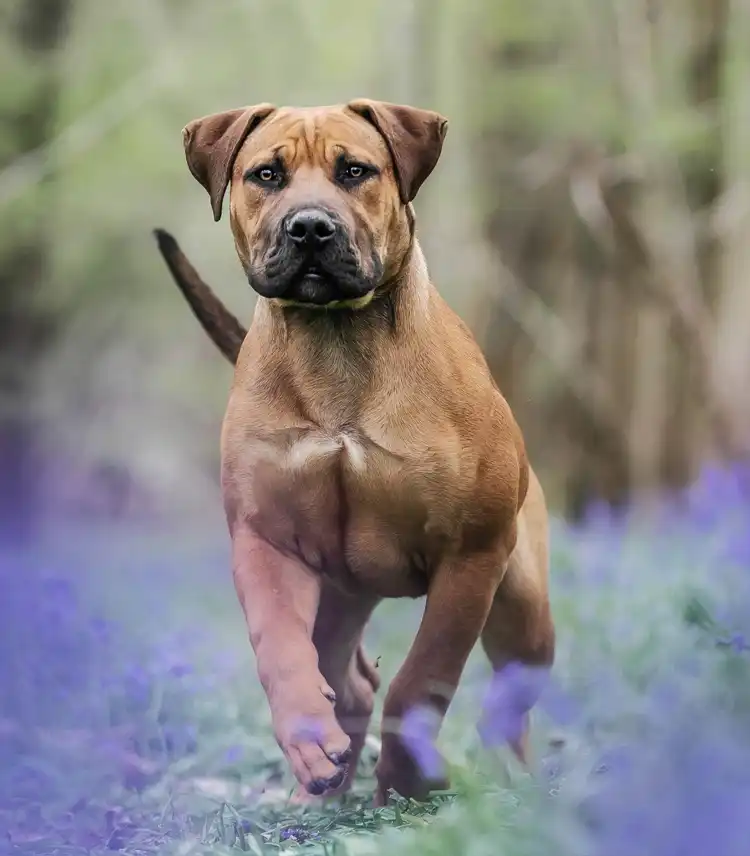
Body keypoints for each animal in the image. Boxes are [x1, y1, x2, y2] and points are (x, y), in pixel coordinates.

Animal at [156, 100, 556, 804]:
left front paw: (407, 779)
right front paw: (309, 738)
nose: (310, 226)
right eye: (266, 174)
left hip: (524, 607)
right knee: (348, 676)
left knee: (512, 693)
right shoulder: (267, 539)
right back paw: (320, 786)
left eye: (354, 171)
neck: (335, 339)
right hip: (340, 590)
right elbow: (280, 648)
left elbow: (423, 676)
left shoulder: (471, 555)